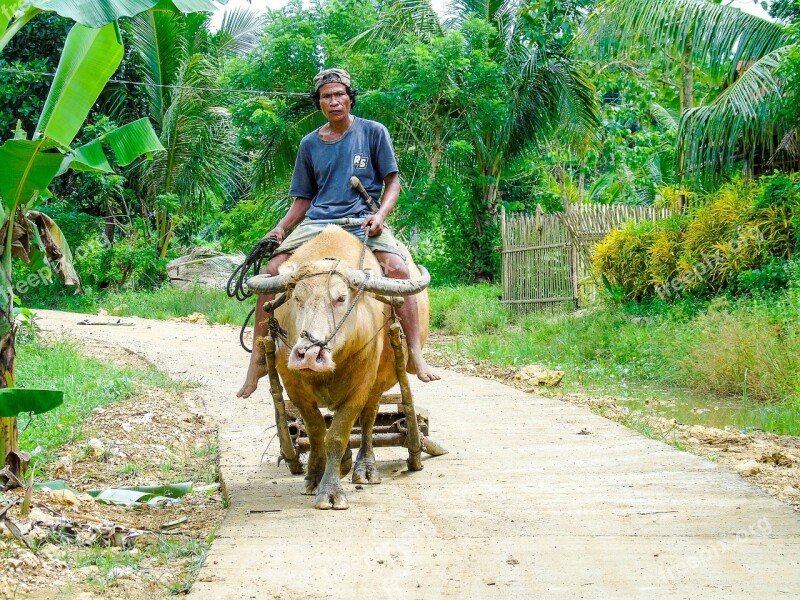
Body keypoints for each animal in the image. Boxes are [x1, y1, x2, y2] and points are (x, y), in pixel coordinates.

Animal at [248, 227, 432, 508]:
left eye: (341, 298)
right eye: (297, 298)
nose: (308, 356)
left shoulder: (361, 386)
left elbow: (338, 433)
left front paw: (331, 491)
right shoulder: (293, 387)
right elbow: (316, 432)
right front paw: (314, 477)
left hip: (378, 385)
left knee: (368, 420)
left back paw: (365, 468)